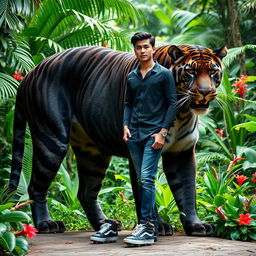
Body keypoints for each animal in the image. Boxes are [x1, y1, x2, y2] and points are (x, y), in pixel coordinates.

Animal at [9, 44, 227, 236]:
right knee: (35, 187)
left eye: (212, 72)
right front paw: (157, 226)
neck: (181, 112)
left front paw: (195, 225)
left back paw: (104, 223)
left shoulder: (181, 152)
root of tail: (31, 73)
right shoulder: (140, 151)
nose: (205, 92)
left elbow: (187, 191)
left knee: (86, 192)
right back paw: (46, 224)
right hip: (51, 140)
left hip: (93, 154)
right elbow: (144, 192)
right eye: (191, 72)